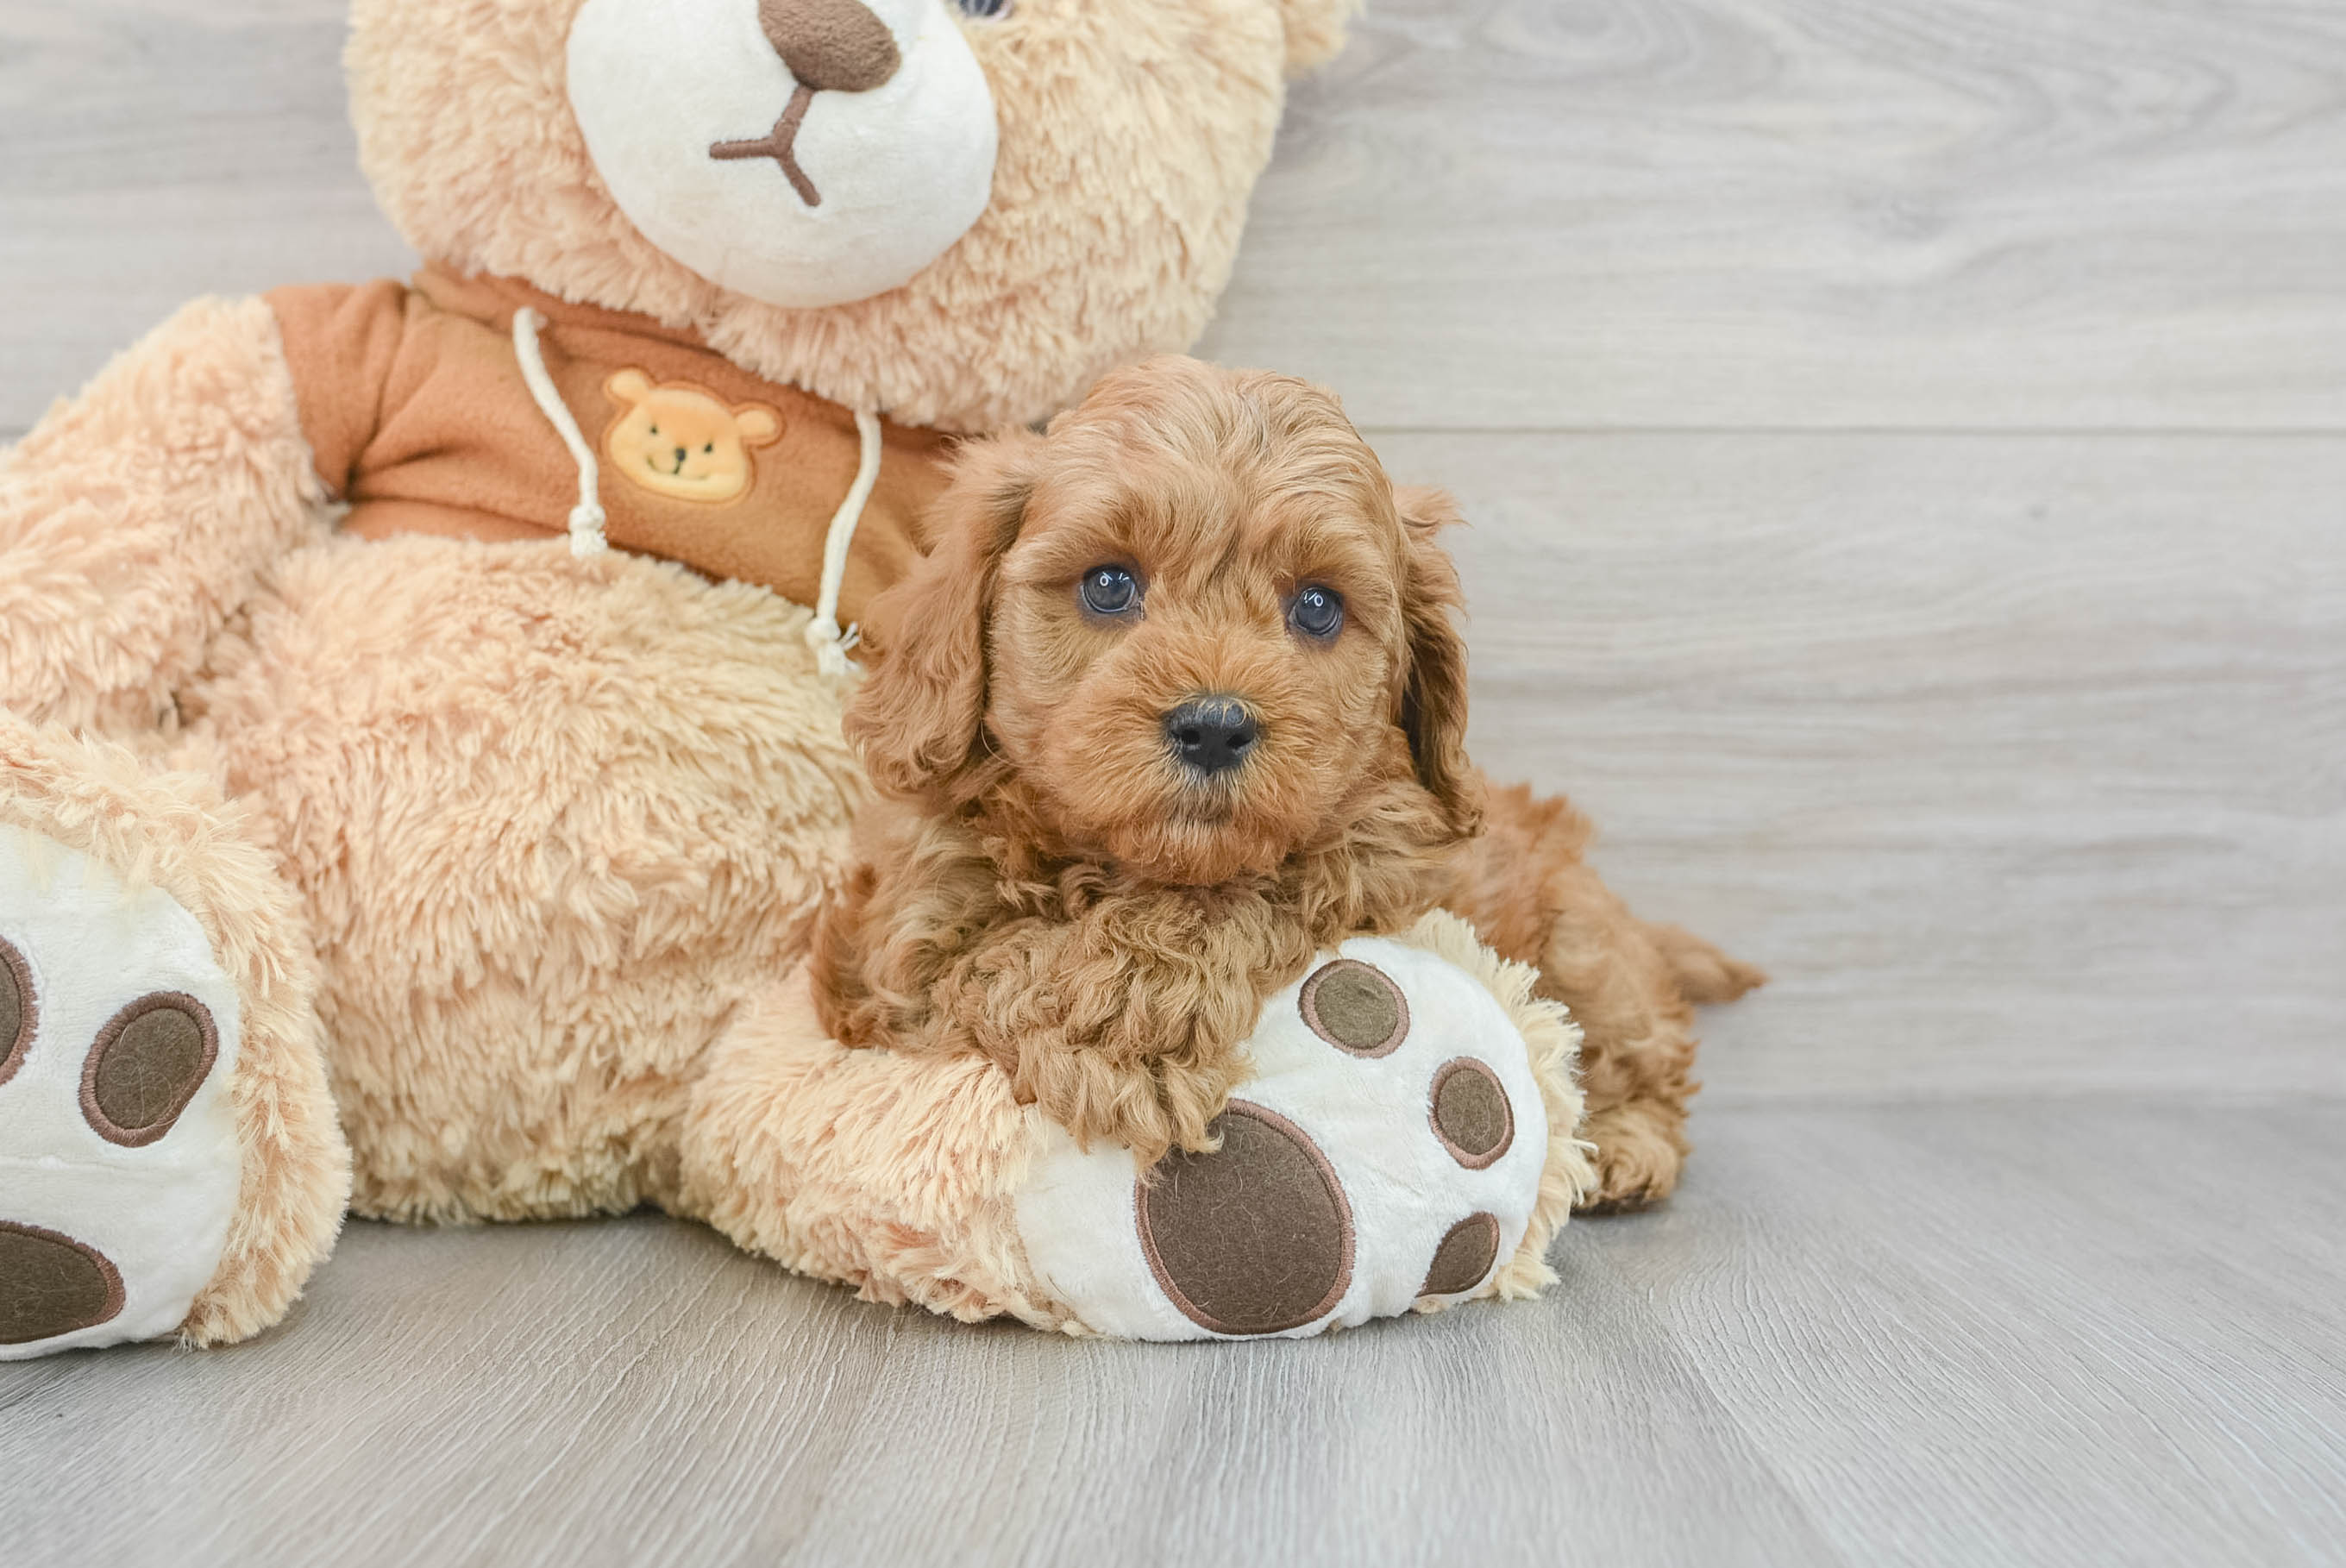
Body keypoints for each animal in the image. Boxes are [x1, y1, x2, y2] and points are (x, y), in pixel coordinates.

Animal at [816, 359, 1754, 1211]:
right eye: (1109, 584)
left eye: (1317, 607)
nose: (1213, 725)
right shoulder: (891, 959)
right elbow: (984, 954)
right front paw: (1107, 1033)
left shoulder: (1391, 850)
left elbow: (1266, 881)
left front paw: (1127, 1014)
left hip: (1584, 947)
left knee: (1643, 1050)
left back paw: (1627, 1147)